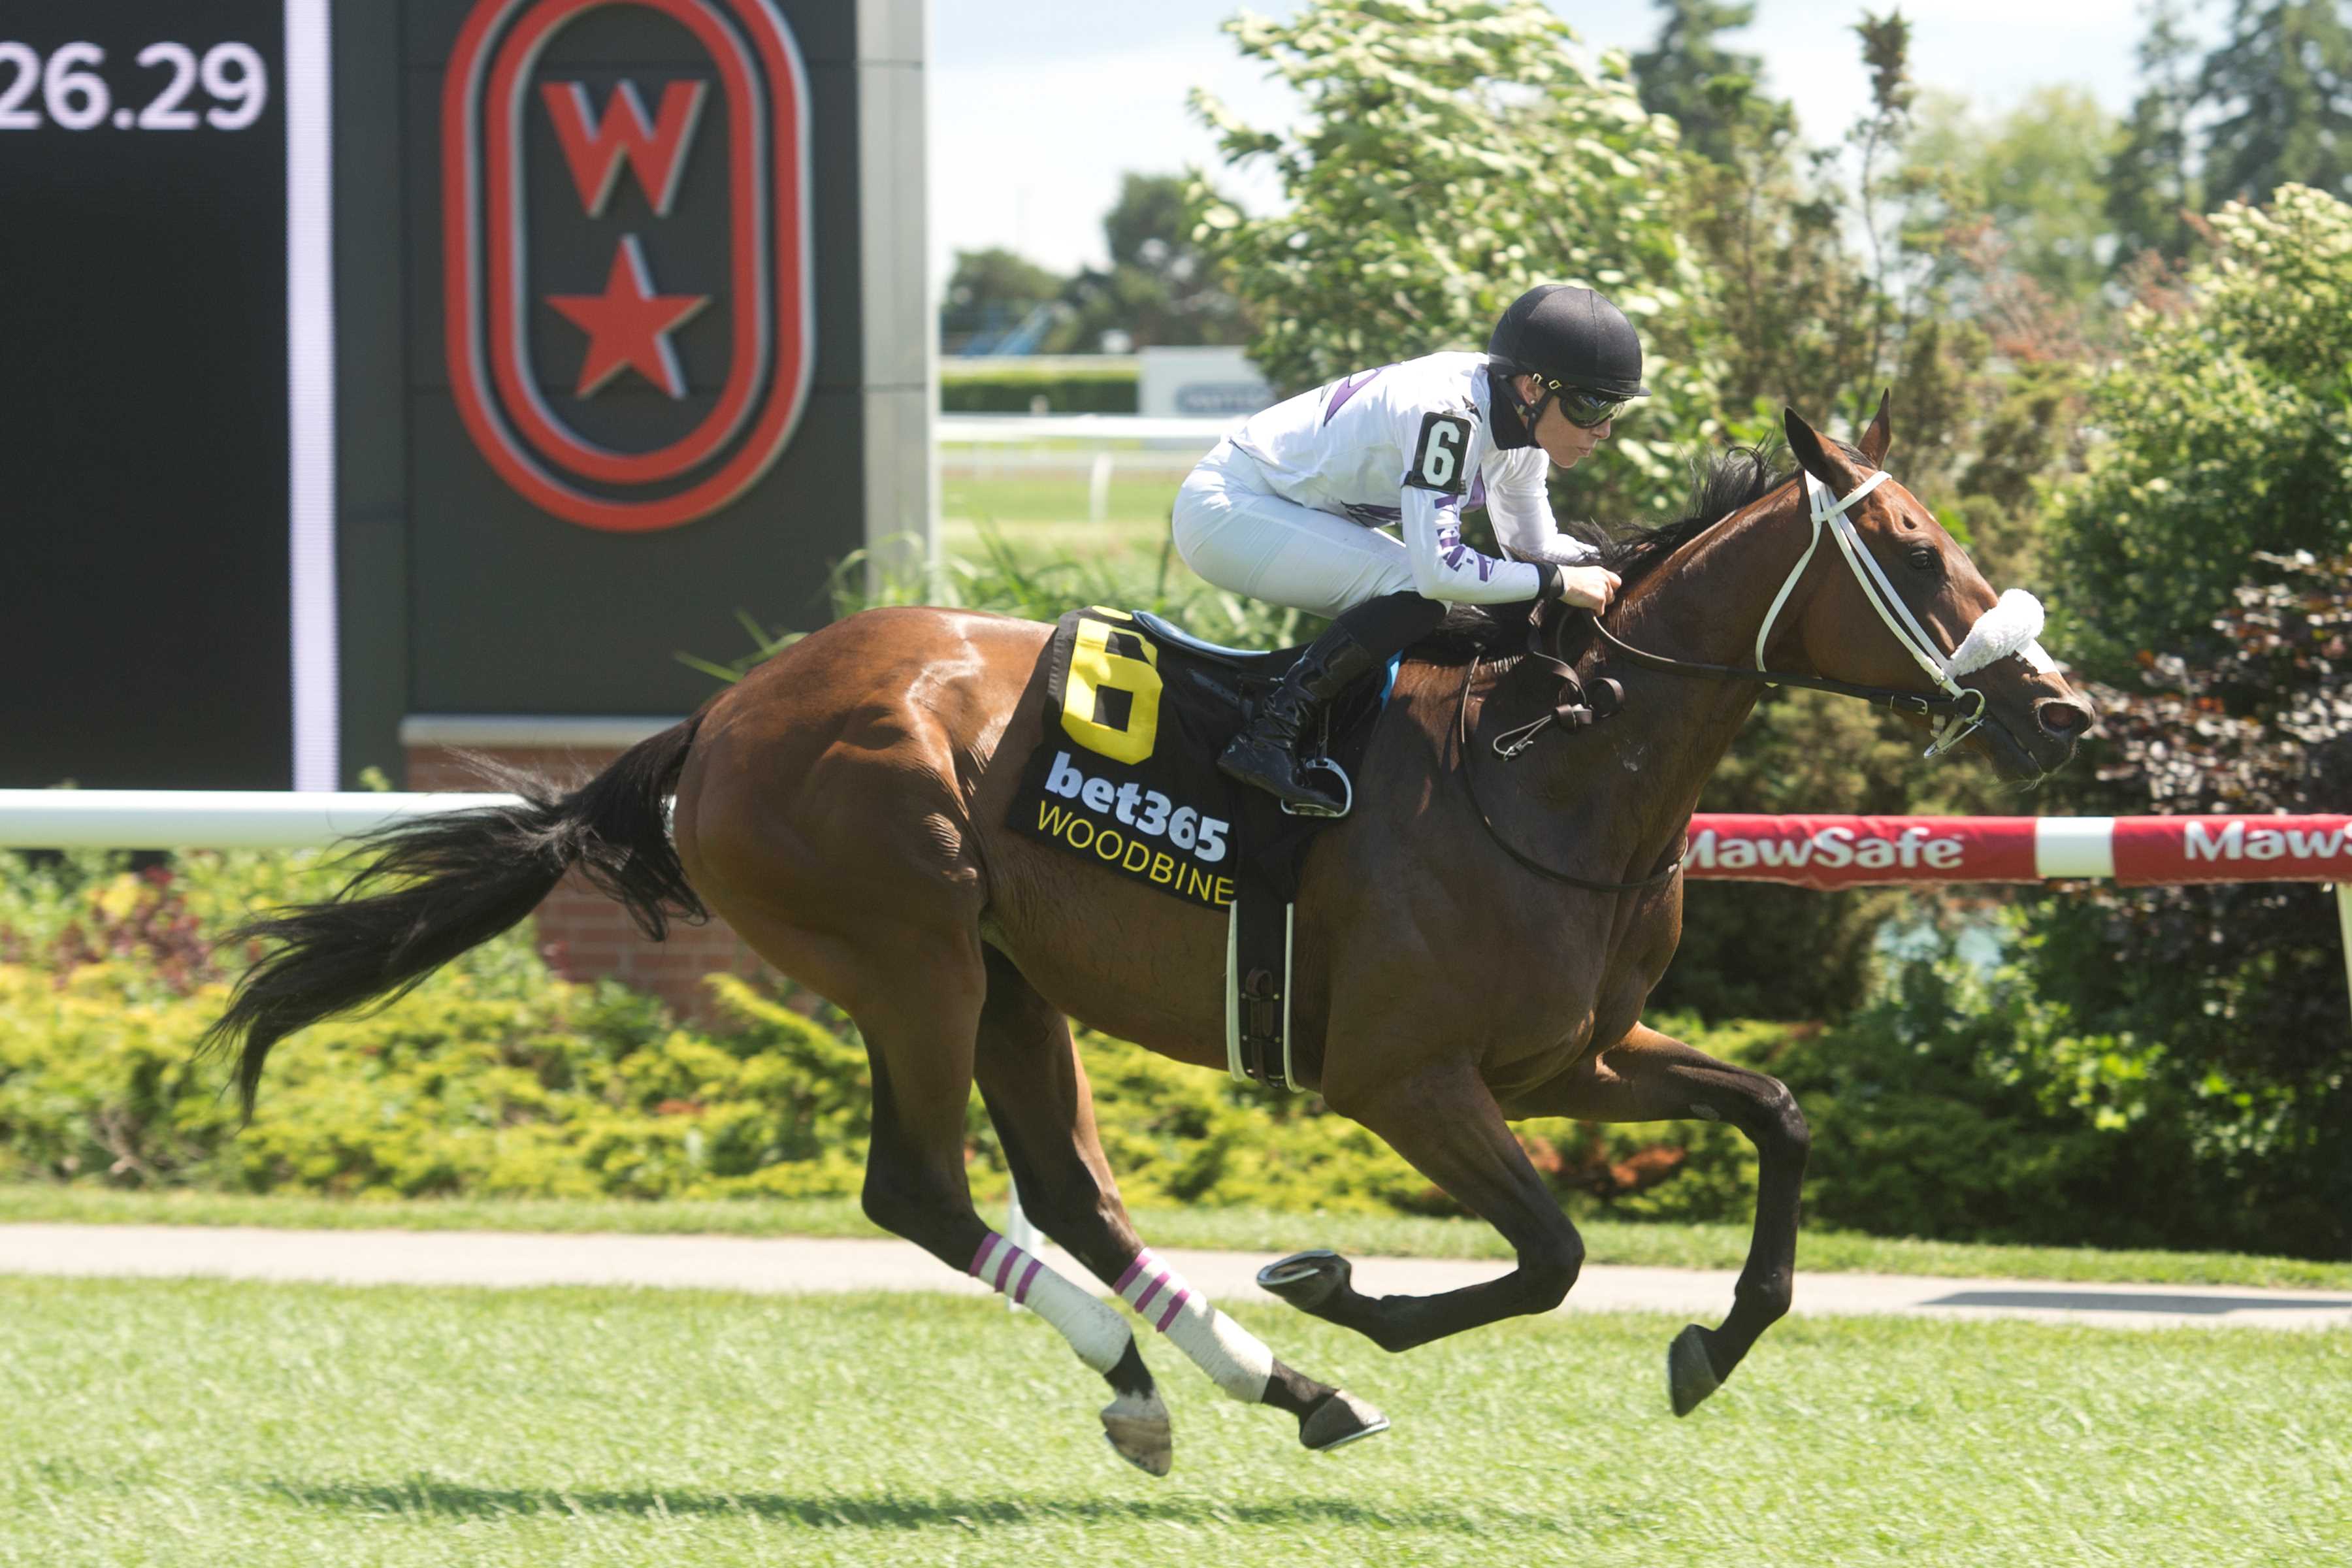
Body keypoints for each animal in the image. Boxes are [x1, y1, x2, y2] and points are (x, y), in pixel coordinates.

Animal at [212, 404, 2098, 1476]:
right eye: (1912, 547)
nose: (2061, 706)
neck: (1552, 757)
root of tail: (724, 716)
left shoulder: (1577, 1051)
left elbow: (1774, 1117)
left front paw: (1712, 1340)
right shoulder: (1406, 1077)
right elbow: (1556, 1251)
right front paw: (1345, 1287)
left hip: (1011, 980)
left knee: (1067, 1191)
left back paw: (1253, 1386)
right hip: (910, 955)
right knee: (927, 1191)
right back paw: (1186, 1365)